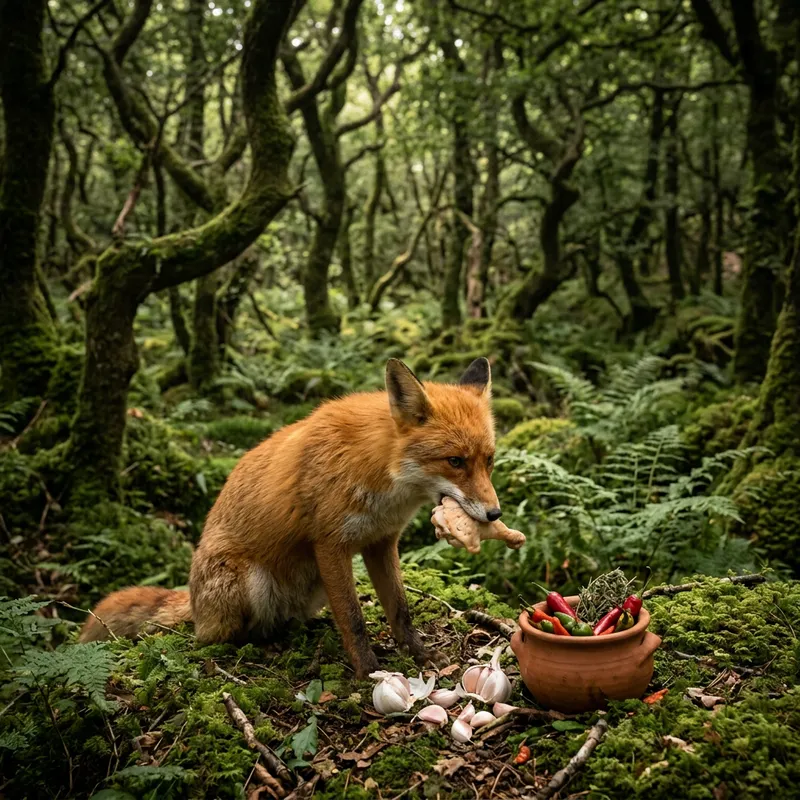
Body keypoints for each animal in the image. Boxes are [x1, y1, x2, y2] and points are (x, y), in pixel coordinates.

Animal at [80, 357, 500, 677]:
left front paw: (419, 653)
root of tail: (196, 602)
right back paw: (257, 645)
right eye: (455, 461)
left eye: (489, 460)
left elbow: (400, 609)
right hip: (249, 580)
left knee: (286, 619)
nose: (495, 512)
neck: (380, 474)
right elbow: (353, 618)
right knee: (217, 637)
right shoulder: (330, 544)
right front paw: (367, 670)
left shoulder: (381, 542)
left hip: (312, 586)